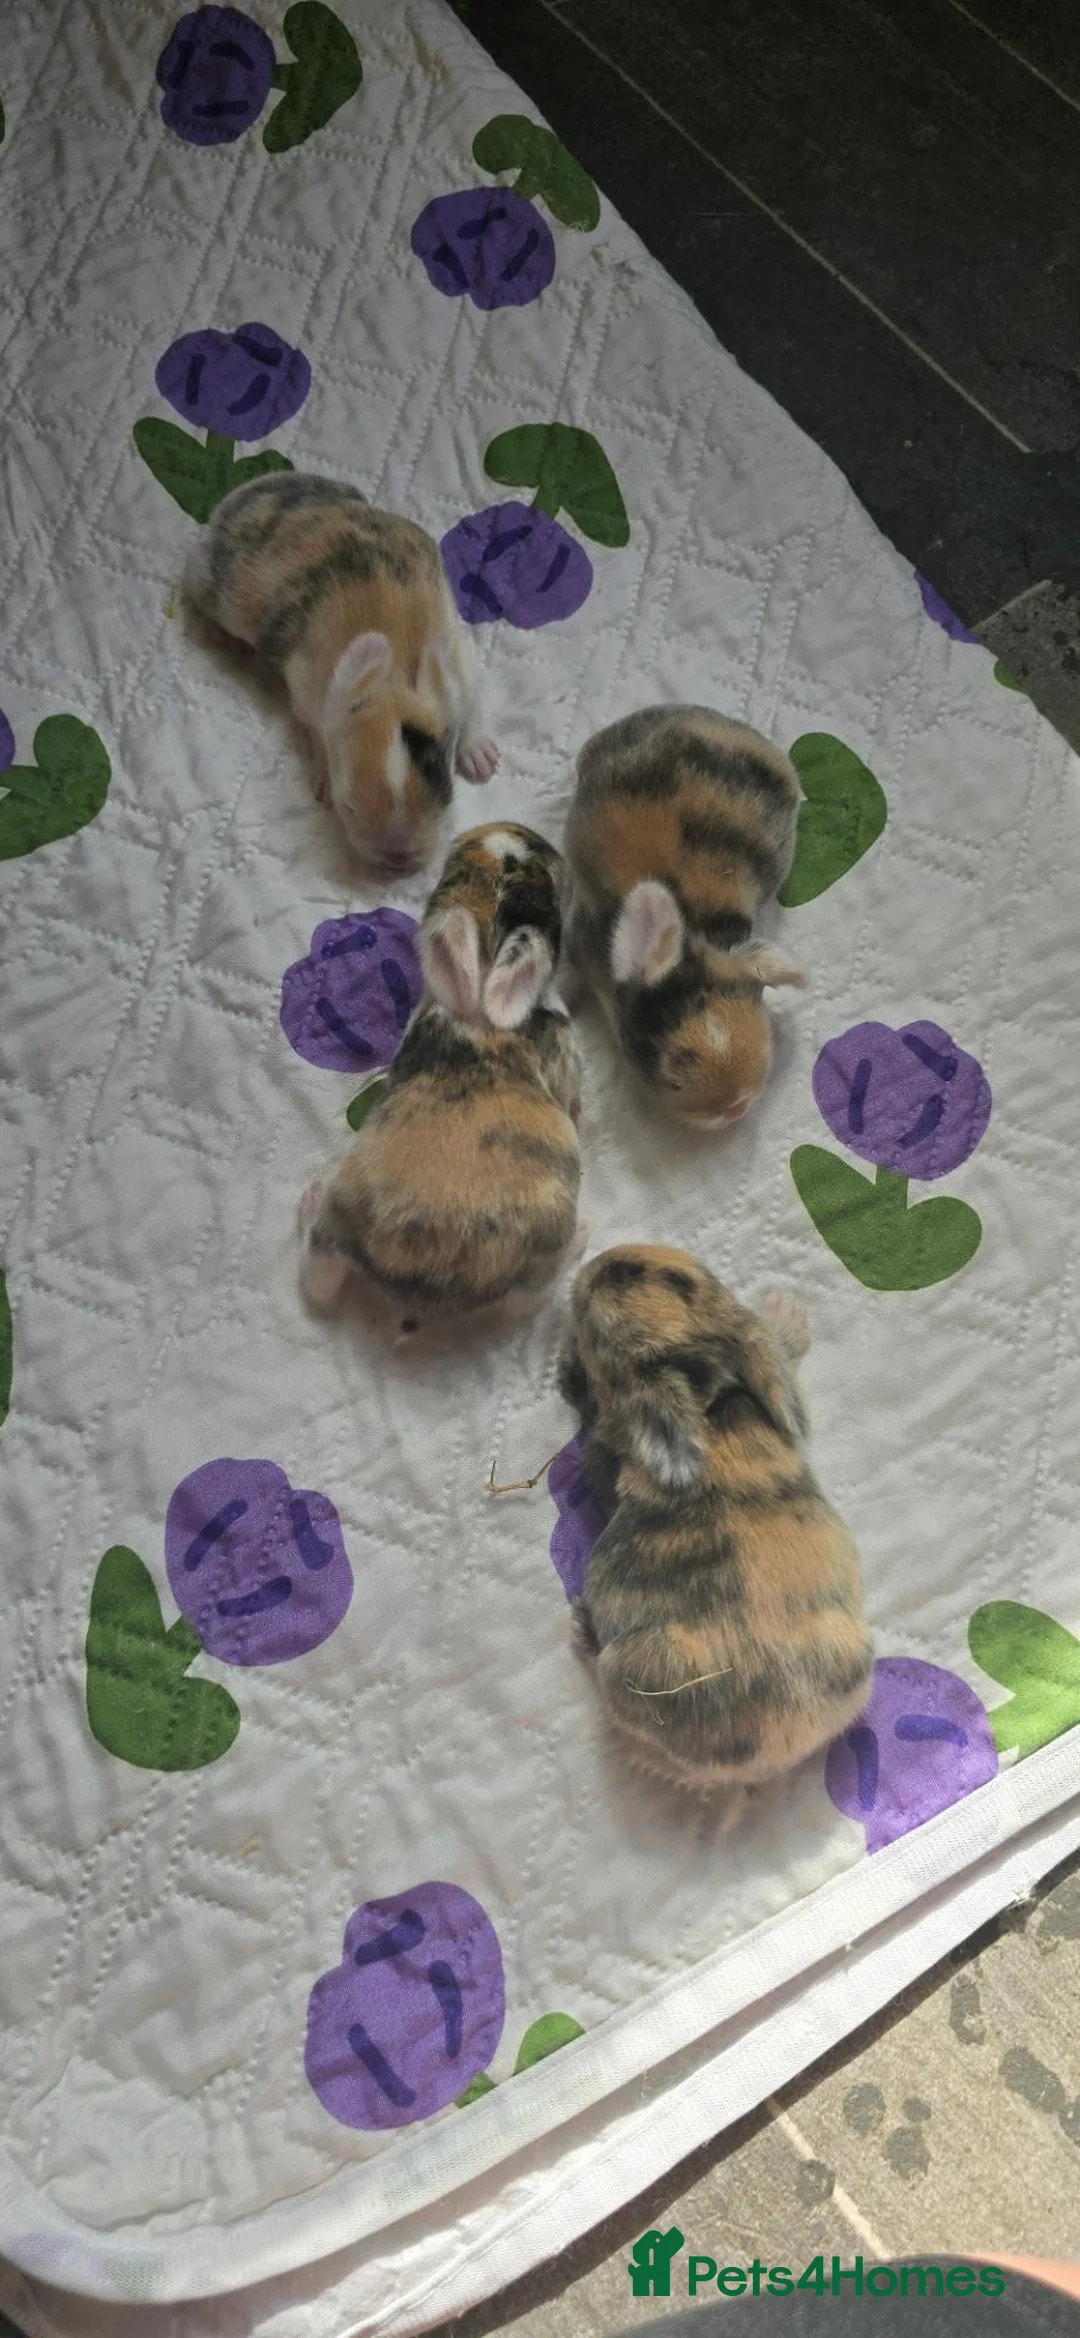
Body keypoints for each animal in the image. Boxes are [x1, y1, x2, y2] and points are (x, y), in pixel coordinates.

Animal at [184, 471, 498, 873]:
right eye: (346, 806)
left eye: (446, 790)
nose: (397, 857)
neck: (390, 681)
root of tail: (246, 492)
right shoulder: (307, 696)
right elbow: (315, 734)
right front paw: (320, 781)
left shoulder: (460, 662)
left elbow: (471, 706)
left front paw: (481, 760)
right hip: (213, 587)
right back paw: (224, 638)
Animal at [299, 826, 584, 1331]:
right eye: (546, 872)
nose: (478, 831)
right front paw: (580, 1109)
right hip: (541, 1255)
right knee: (524, 1303)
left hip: (336, 1220)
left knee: (320, 1281)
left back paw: (308, 1200)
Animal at [558, 1244, 873, 1803]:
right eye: (684, 1278)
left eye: (623, 1275)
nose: (591, 1264)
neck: (710, 1397)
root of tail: (761, 1762)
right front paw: (786, 1311)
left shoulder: (604, 1458)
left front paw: (568, 1372)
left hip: (626, 1669)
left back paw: (581, 1628)